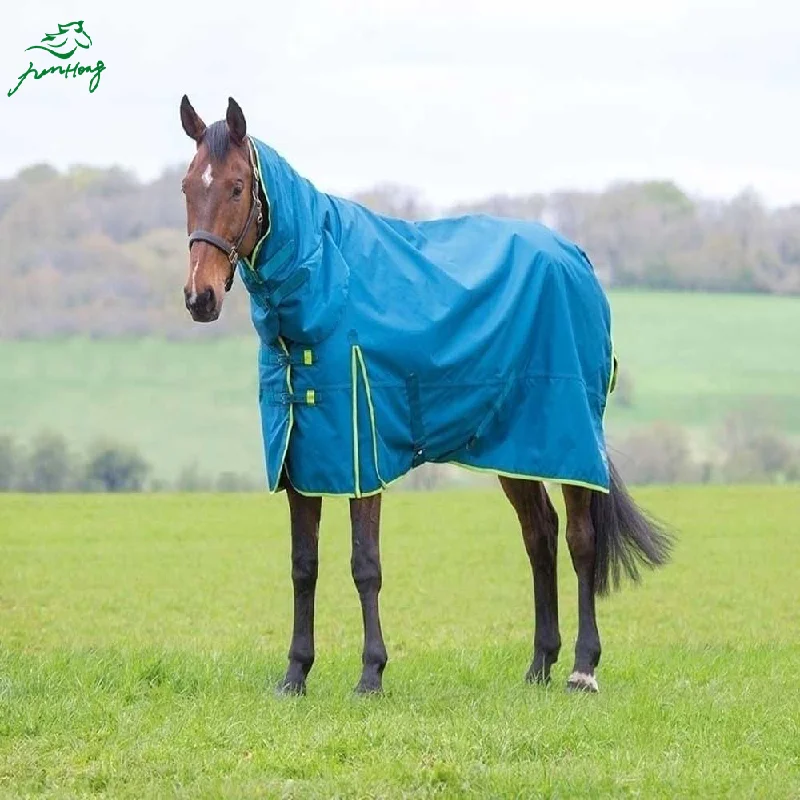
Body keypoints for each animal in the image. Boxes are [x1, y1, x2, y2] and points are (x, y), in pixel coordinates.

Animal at [178, 95, 672, 695]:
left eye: (236, 187)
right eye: (186, 186)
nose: (199, 298)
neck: (327, 288)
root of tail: (576, 257)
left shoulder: (361, 456)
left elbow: (364, 564)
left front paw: (371, 673)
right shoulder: (301, 460)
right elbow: (303, 565)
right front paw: (295, 674)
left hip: (569, 436)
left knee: (580, 540)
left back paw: (582, 668)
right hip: (514, 446)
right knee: (540, 536)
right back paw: (539, 665)